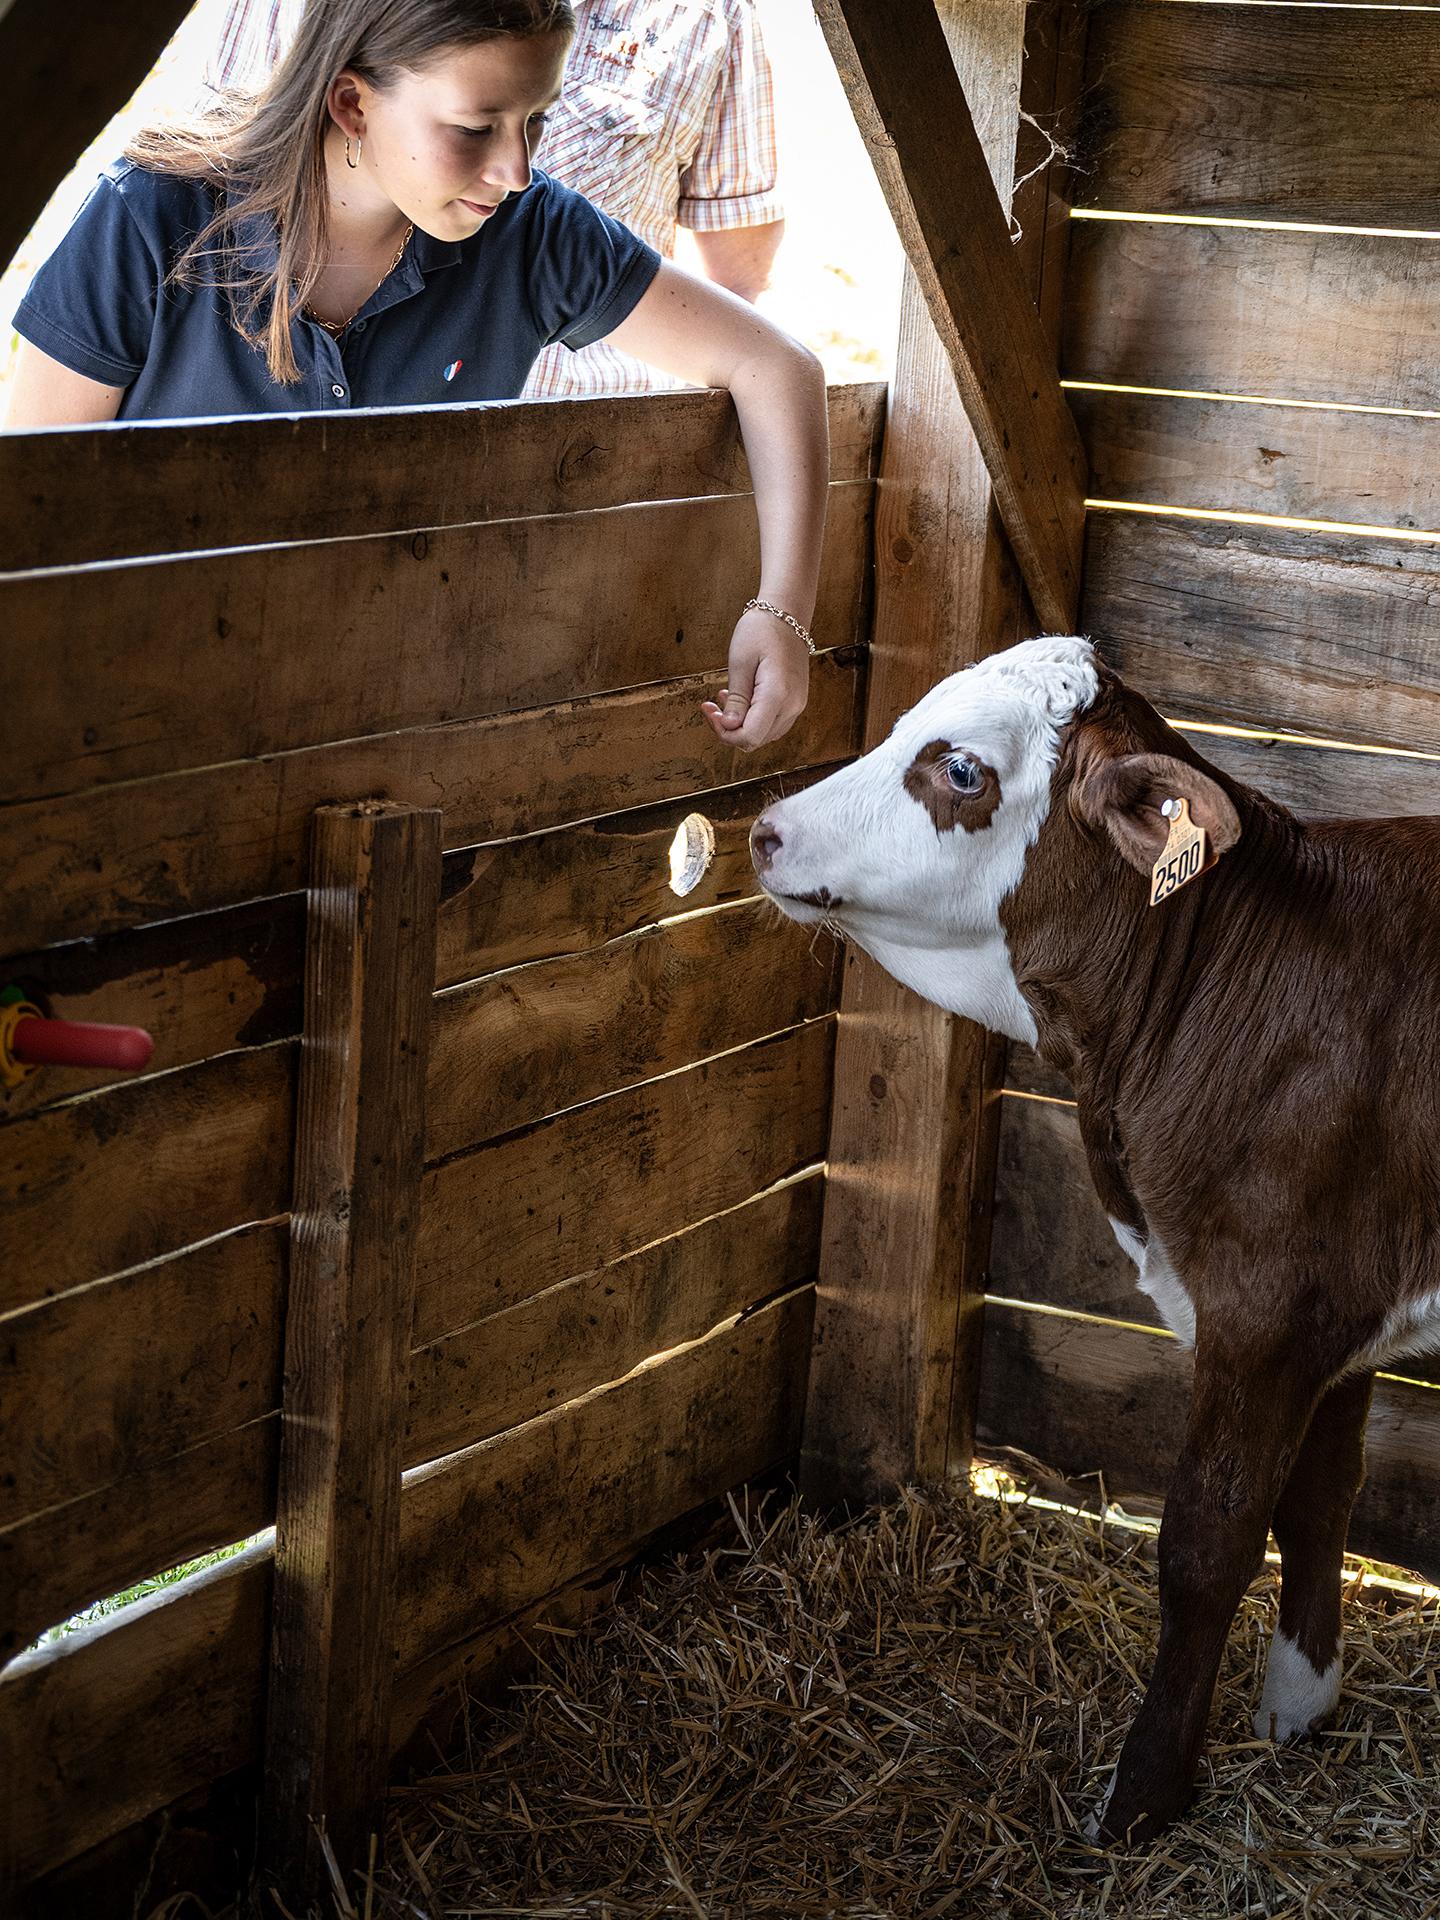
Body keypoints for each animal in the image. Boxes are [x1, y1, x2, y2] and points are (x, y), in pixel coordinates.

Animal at [749, 635, 1440, 1842]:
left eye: (962, 769)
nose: (769, 829)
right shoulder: (1343, 1303)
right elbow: (1322, 1497)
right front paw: (1301, 1705)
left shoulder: (1267, 1307)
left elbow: (1210, 1543)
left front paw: (1145, 1794)